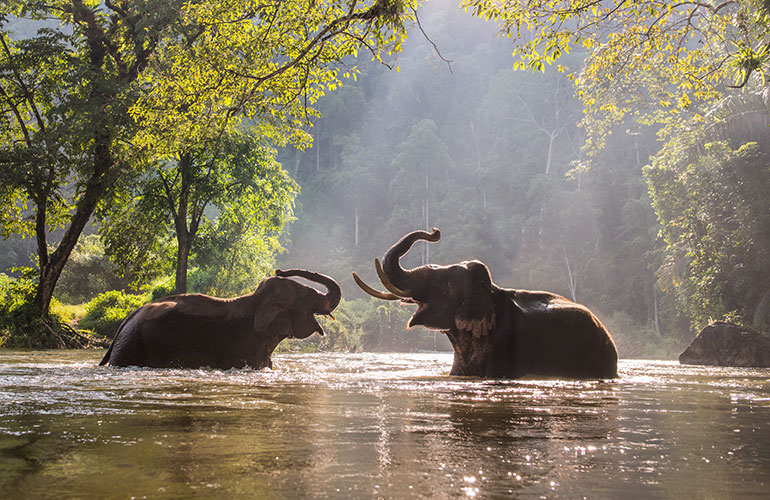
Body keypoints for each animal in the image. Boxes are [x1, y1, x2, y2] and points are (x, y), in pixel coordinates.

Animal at [99, 269, 341, 369]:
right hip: (131, 347)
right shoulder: (243, 346)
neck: (256, 300)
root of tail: (126, 320)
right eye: (308, 296)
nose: (279, 270)